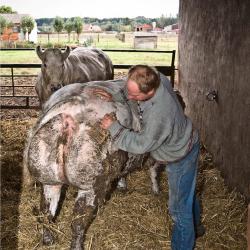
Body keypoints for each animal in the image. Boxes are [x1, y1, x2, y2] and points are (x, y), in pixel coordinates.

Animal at [23, 79, 164, 249]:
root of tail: (66, 116)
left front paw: (123, 186)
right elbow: (154, 170)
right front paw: (156, 191)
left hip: (48, 176)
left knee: (46, 211)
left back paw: (48, 240)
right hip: (90, 182)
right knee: (78, 221)